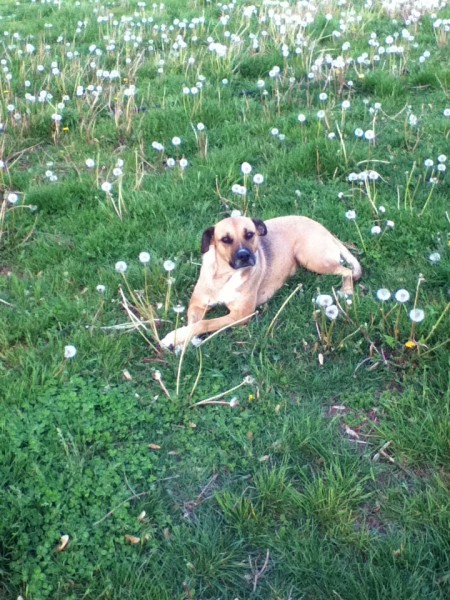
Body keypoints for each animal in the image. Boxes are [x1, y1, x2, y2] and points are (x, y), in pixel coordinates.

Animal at [161, 215, 362, 349]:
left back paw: (347, 290)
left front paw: (173, 338)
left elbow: (203, 324)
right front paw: (180, 343)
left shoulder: (240, 315)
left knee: (348, 271)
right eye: (225, 240)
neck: (224, 276)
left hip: (311, 257)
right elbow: (192, 323)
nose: (244, 256)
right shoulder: (197, 305)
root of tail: (323, 228)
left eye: (250, 234)